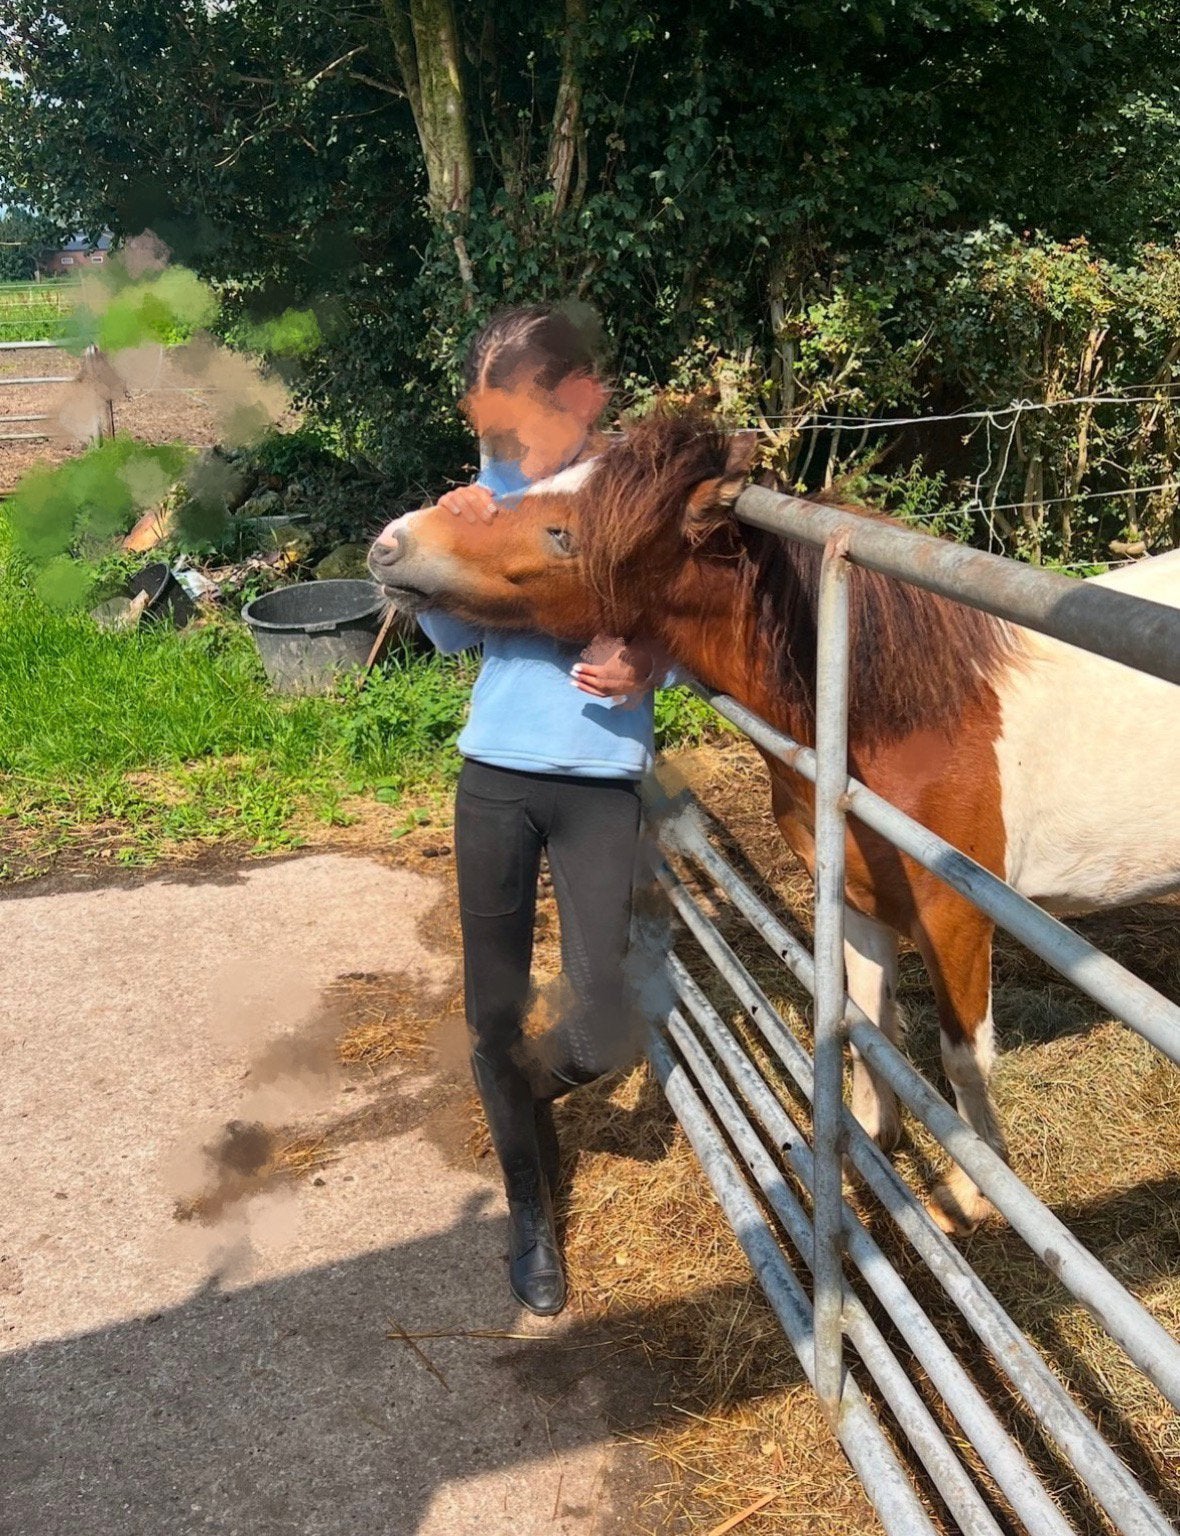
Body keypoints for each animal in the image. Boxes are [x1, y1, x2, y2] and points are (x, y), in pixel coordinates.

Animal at [368, 409, 1180, 1233]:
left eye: (563, 532)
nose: (393, 542)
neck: (894, 716)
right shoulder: (858, 899)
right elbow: (865, 1023)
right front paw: (867, 1142)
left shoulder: (958, 918)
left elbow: (964, 1059)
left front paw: (971, 1191)